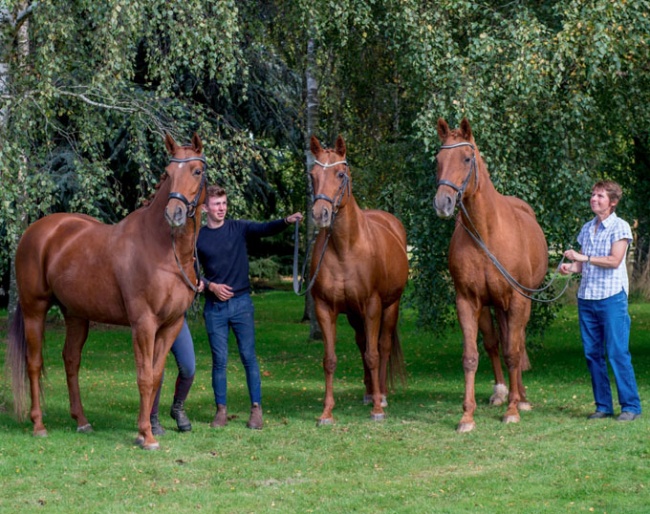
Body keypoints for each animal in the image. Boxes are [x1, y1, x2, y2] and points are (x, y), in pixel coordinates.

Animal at [6, 133, 205, 448]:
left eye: (197, 171)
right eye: (168, 173)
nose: (174, 213)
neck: (164, 249)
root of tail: (35, 231)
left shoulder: (172, 325)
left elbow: (156, 374)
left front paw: (145, 430)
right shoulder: (144, 324)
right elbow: (144, 377)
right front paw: (147, 435)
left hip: (76, 315)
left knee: (71, 361)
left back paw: (82, 421)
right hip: (34, 309)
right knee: (34, 363)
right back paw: (38, 425)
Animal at [308, 134, 404, 422]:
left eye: (340, 174)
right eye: (312, 175)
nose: (320, 214)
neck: (345, 249)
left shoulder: (373, 306)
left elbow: (374, 355)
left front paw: (377, 410)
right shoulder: (325, 308)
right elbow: (329, 360)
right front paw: (326, 412)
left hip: (390, 307)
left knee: (382, 346)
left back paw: (380, 395)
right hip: (354, 314)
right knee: (362, 343)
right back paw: (369, 392)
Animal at [432, 119, 544, 432]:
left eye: (466, 159)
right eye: (438, 160)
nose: (443, 203)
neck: (487, 233)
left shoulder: (517, 301)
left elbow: (514, 352)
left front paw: (513, 410)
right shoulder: (468, 301)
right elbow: (472, 356)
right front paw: (467, 416)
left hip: (519, 304)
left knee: (515, 343)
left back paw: (521, 397)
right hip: (492, 307)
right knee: (496, 344)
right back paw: (501, 392)